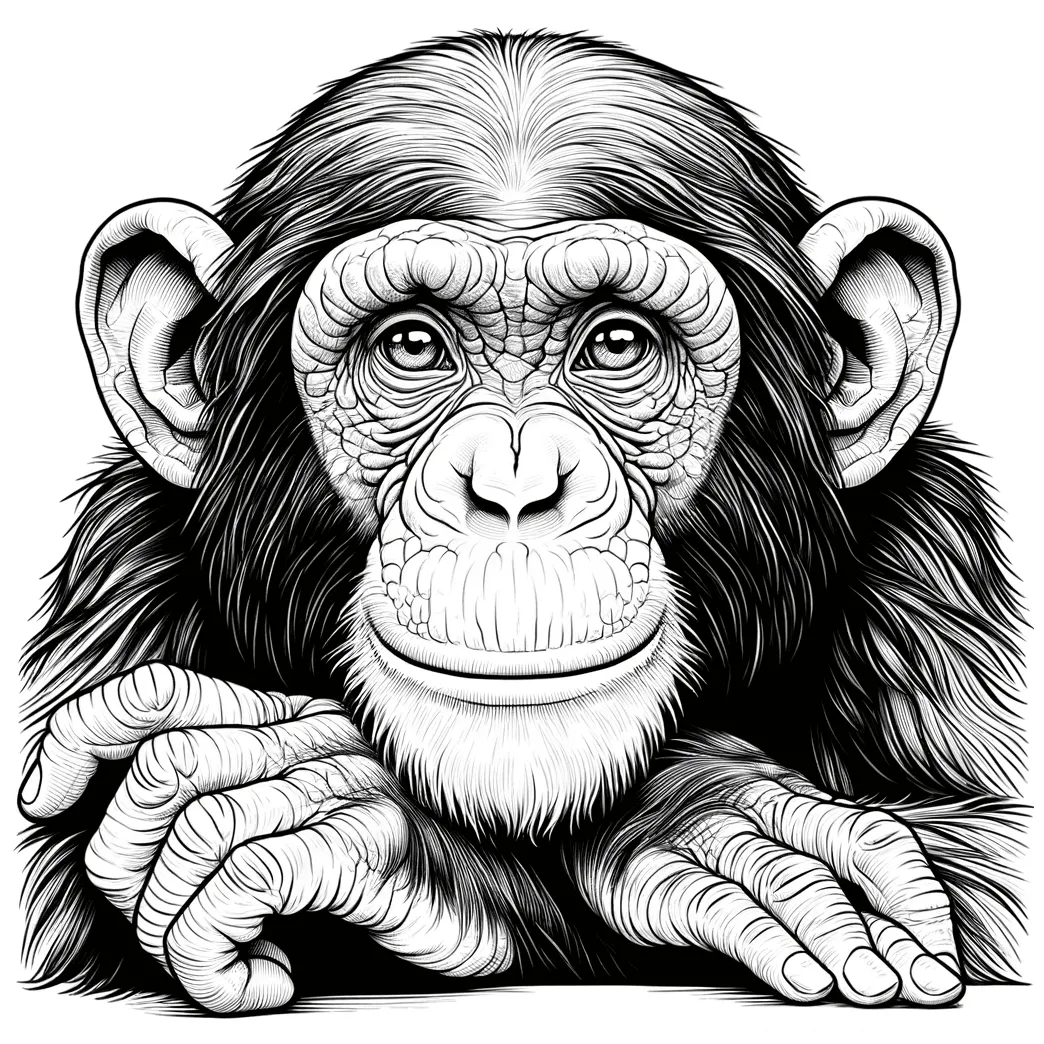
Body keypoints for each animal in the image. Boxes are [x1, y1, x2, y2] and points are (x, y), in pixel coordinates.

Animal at [19, 31, 1024, 1014]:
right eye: (411, 343)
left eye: (616, 342)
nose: (513, 486)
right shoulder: (117, 576)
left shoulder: (936, 566)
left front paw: (704, 820)